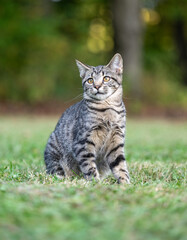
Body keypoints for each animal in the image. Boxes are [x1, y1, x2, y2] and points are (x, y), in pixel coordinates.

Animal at [44, 53, 130, 184]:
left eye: (106, 78)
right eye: (90, 80)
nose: (97, 86)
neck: (107, 108)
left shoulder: (116, 141)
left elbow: (120, 166)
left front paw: (125, 183)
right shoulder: (83, 142)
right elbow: (89, 166)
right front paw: (95, 183)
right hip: (53, 153)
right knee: (56, 171)